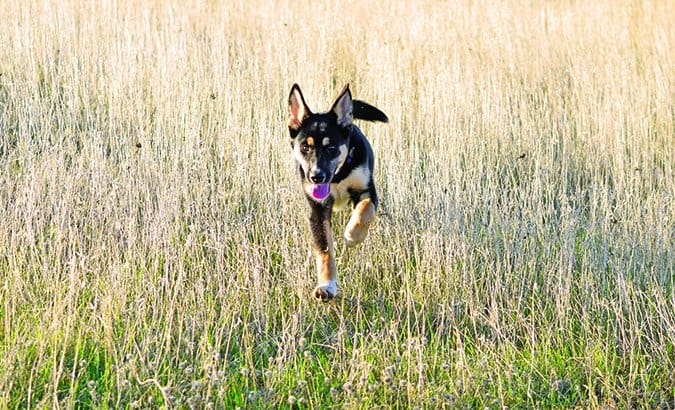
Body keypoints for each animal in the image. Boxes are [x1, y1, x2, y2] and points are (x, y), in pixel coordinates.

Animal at [286, 83, 390, 302]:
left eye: (331, 147)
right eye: (305, 147)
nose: (316, 177)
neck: (338, 176)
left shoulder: (368, 191)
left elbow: (364, 212)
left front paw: (352, 235)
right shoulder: (317, 211)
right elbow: (325, 249)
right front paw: (327, 286)